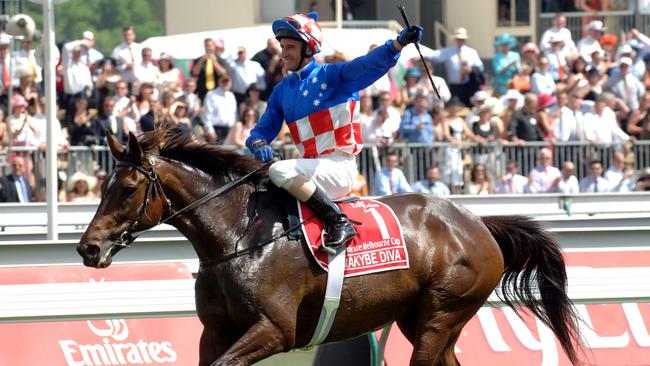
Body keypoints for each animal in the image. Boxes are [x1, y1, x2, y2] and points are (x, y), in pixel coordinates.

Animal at [77, 129, 584, 366]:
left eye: (126, 189)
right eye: (101, 186)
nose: (88, 248)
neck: (238, 238)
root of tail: (477, 222)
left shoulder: (275, 330)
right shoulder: (215, 331)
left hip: (442, 312)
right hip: (424, 319)